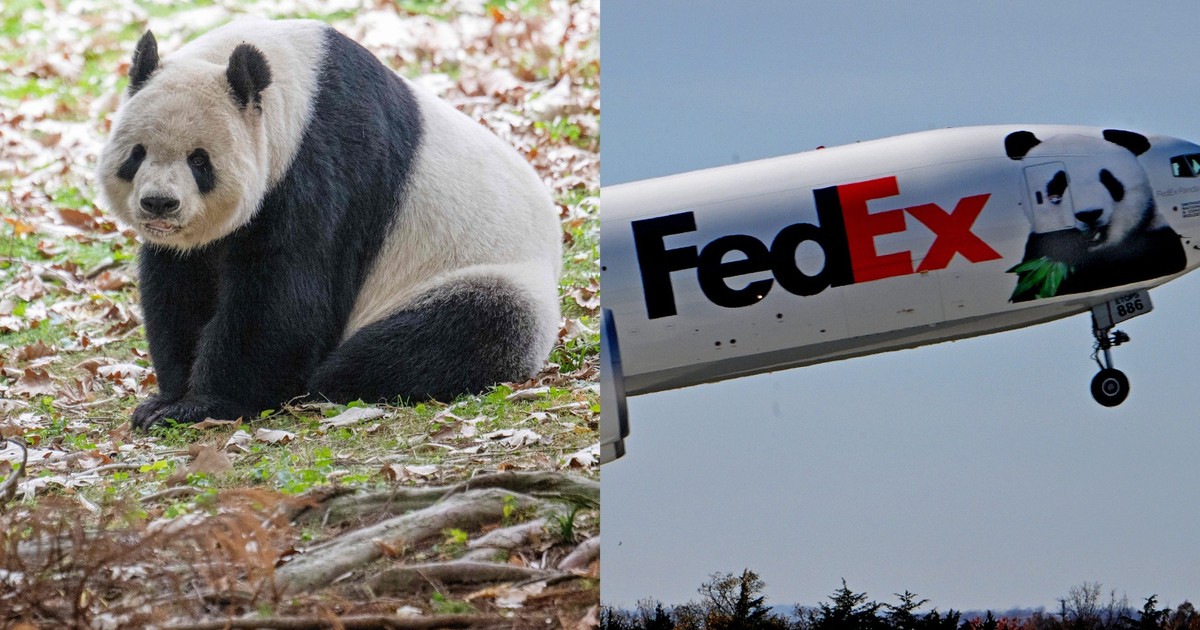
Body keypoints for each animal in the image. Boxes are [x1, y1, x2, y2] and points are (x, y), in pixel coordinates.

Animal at [96, 19, 563, 429]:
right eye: (137, 153)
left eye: (199, 160)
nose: (160, 204)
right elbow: (180, 287)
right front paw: (167, 399)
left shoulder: (322, 169)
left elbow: (284, 296)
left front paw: (203, 404)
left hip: (481, 274)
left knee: (454, 332)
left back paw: (334, 377)